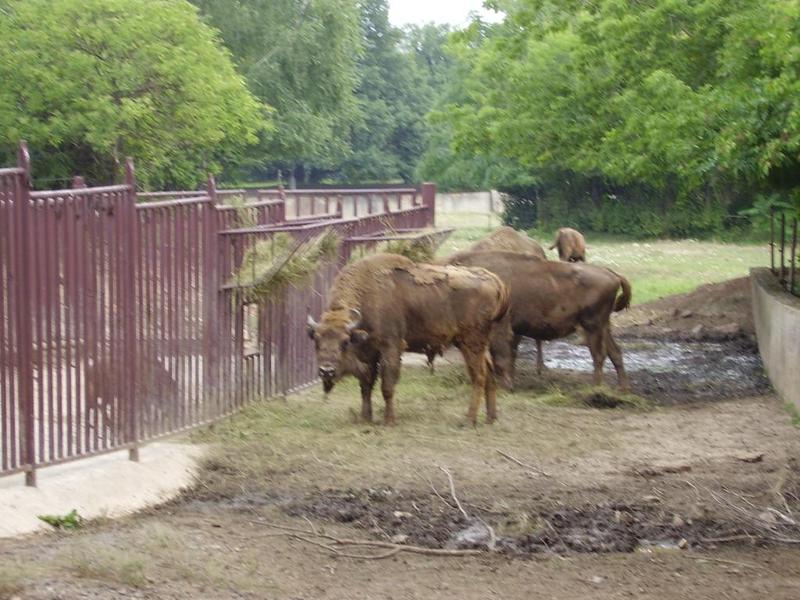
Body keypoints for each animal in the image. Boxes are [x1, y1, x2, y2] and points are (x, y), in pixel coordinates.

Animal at [306, 253, 512, 426]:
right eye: (316, 340)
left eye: (344, 342)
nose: (326, 371)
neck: (369, 295)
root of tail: (494, 280)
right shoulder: (370, 353)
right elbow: (366, 385)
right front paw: (366, 418)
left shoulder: (391, 347)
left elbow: (387, 386)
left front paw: (389, 421)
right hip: (478, 345)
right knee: (489, 373)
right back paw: (491, 418)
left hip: (470, 342)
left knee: (479, 376)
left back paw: (469, 420)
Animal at [445, 251, 631, 389]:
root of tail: (612, 274)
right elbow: (508, 356)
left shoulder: (499, 328)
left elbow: (501, 357)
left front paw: (506, 385)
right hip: (603, 326)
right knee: (615, 352)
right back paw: (622, 389)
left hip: (592, 325)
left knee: (599, 355)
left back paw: (595, 389)